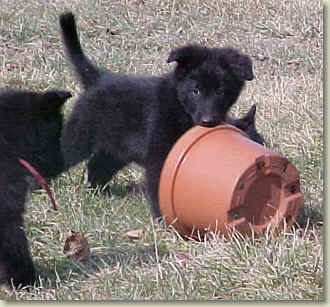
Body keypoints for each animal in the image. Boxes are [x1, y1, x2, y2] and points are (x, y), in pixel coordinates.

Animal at [60, 12, 253, 219]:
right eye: (196, 91)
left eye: (220, 91)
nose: (208, 121)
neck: (180, 106)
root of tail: (98, 78)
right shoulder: (159, 152)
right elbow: (157, 182)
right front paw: (161, 216)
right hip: (80, 136)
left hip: (116, 149)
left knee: (97, 165)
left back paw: (98, 192)